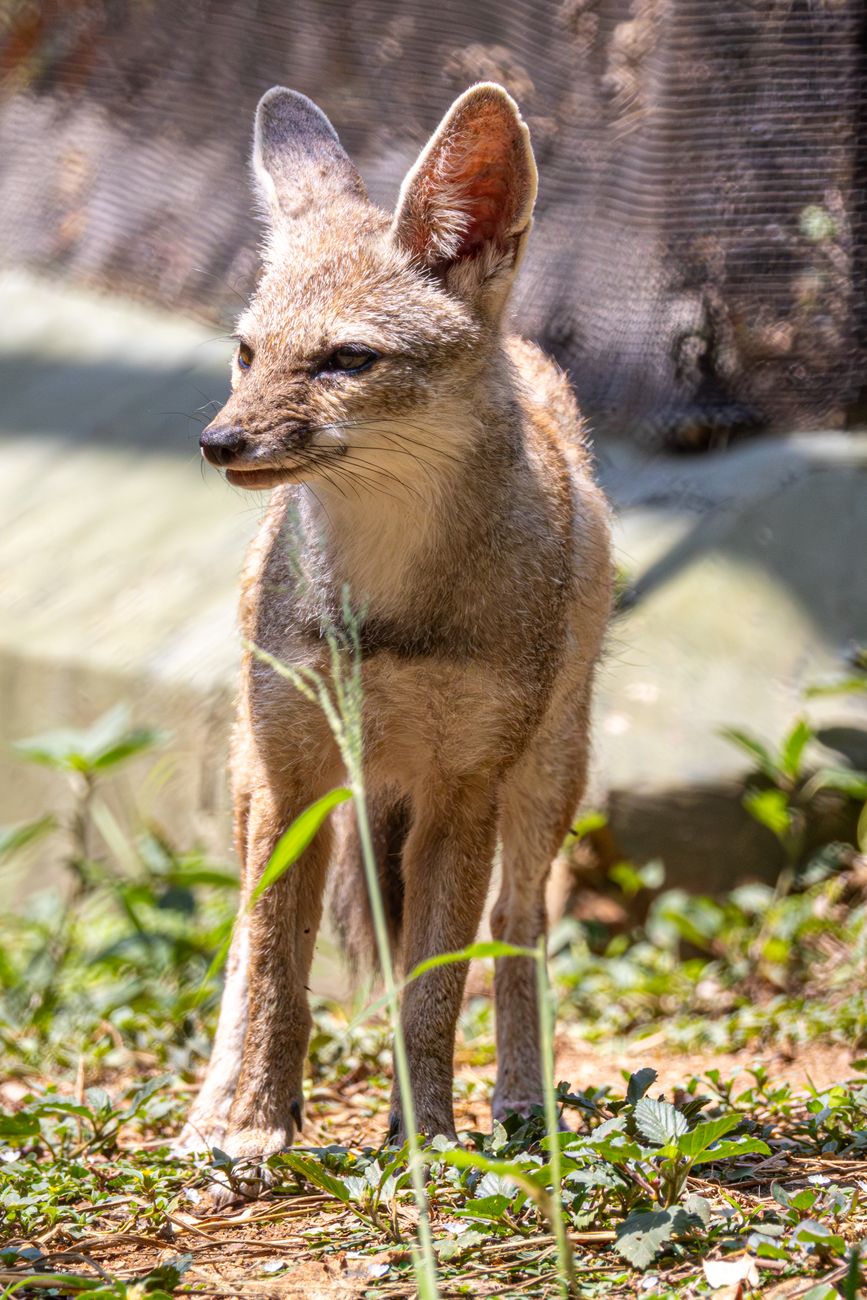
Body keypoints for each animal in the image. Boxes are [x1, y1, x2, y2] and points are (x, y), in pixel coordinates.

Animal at [177, 81, 612, 1171]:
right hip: (257, 779)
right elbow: (275, 976)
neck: (389, 612)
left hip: (545, 782)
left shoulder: (464, 788)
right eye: (247, 353)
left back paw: (520, 1104)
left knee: (518, 928)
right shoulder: (294, 776)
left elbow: (434, 994)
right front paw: (253, 1125)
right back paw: (209, 1111)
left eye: (347, 360)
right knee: (241, 945)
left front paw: (426, 1139)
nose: (217, 441)